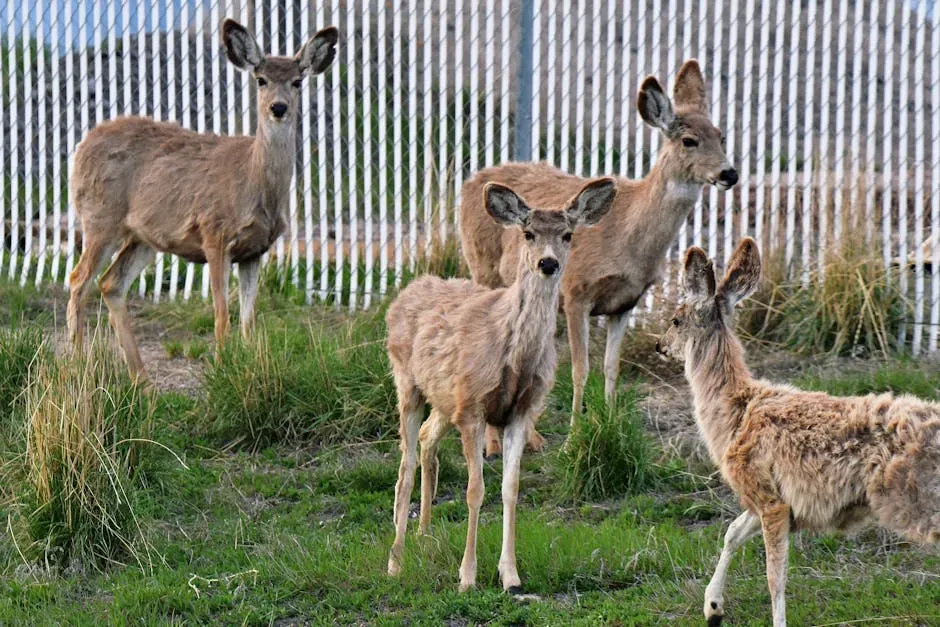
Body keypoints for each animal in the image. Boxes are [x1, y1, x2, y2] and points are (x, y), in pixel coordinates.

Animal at [66, 19, 338, 378]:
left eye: (297, 81)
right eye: (261, 79)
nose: (278, 107)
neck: (255, 183)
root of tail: (80, 148)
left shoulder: (255, 250)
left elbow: (249, 320)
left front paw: (246, 366)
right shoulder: (214, 233)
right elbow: (222, 315)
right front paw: (221, 370)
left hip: (142, 237)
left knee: (111, 283)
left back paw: (140, 377)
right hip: (100, 219)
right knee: (78, 280)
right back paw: (77, 364)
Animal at [385, 178, 616, 592]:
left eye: (568, 234)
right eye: (528, 233)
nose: (548, 263)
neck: (514, 357)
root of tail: (408, 290)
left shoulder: (520, 411)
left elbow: (511, 489)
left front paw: (511, 576)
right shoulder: (473, 407)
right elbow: (475, 490)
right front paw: (468, 576)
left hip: (444, 398)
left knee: (427, 438)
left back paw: (424, 536)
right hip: (407, 383)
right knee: (405, 465)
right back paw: (395, 561)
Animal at [459, 59, 737, 456]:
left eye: (721, 135)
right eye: (689, 140)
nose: (730, 173)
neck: (628, 237)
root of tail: (472, 181)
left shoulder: (626, 302)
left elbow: (611, 367)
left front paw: (609, 425)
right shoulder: (577, 292)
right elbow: (579, 369)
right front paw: (574, 438)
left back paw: (531, 437)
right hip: (481, 266)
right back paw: (495, 445)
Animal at [657, 238, 940, 627]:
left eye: (676, 320)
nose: (659, 346)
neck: (735, 412)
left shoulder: (768, 497)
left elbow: (774, 576)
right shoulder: (774, 499)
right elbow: (732, 533)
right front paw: (713, 608)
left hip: (919, 499)